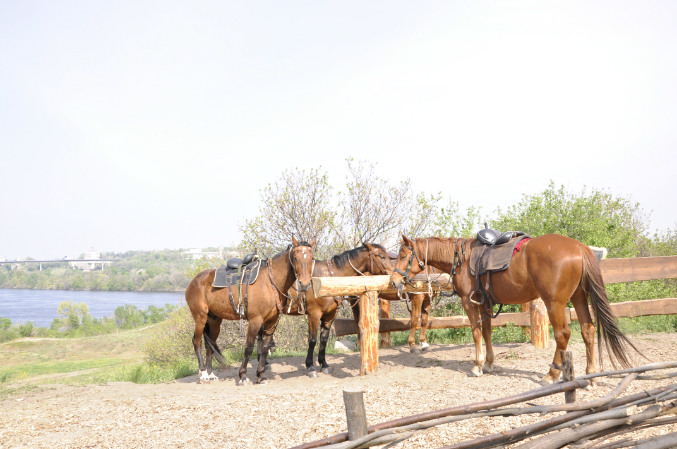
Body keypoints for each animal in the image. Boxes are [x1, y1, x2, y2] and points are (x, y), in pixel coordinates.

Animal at [185, 236, 315, 385]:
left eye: (312, 258)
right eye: (295, 258)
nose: (304, 284)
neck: (270, 282)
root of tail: (194, 281)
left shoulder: (272, 322)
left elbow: (264, 348)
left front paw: (261, 375)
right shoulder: (255, 321)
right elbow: (249, 347)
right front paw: (243, 376)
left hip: (214, 321)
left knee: (209, 344)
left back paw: (210, 373)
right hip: (200, 317)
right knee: (197, 342)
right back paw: (203, 374)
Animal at [283, 243, 393, 377]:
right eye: (382, 256)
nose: (394, 273)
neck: (328, 277)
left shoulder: (330, 315)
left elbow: (324, 339)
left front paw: (324, 364)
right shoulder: (314, 314)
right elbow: (312, 340)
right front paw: (310, 367)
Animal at [390, 234, 643, 383]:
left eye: (403, 255)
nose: (394, 281)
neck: (462, 259)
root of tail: (580, 247)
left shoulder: (470, 303)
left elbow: (476, 333)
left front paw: (478, 366)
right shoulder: (485, 303)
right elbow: (487, 332)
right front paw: (489, 363)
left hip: (555, 302)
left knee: (563, 334)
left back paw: (552, 374)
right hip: (579, 297)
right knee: (587, 330)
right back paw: (591, 376)